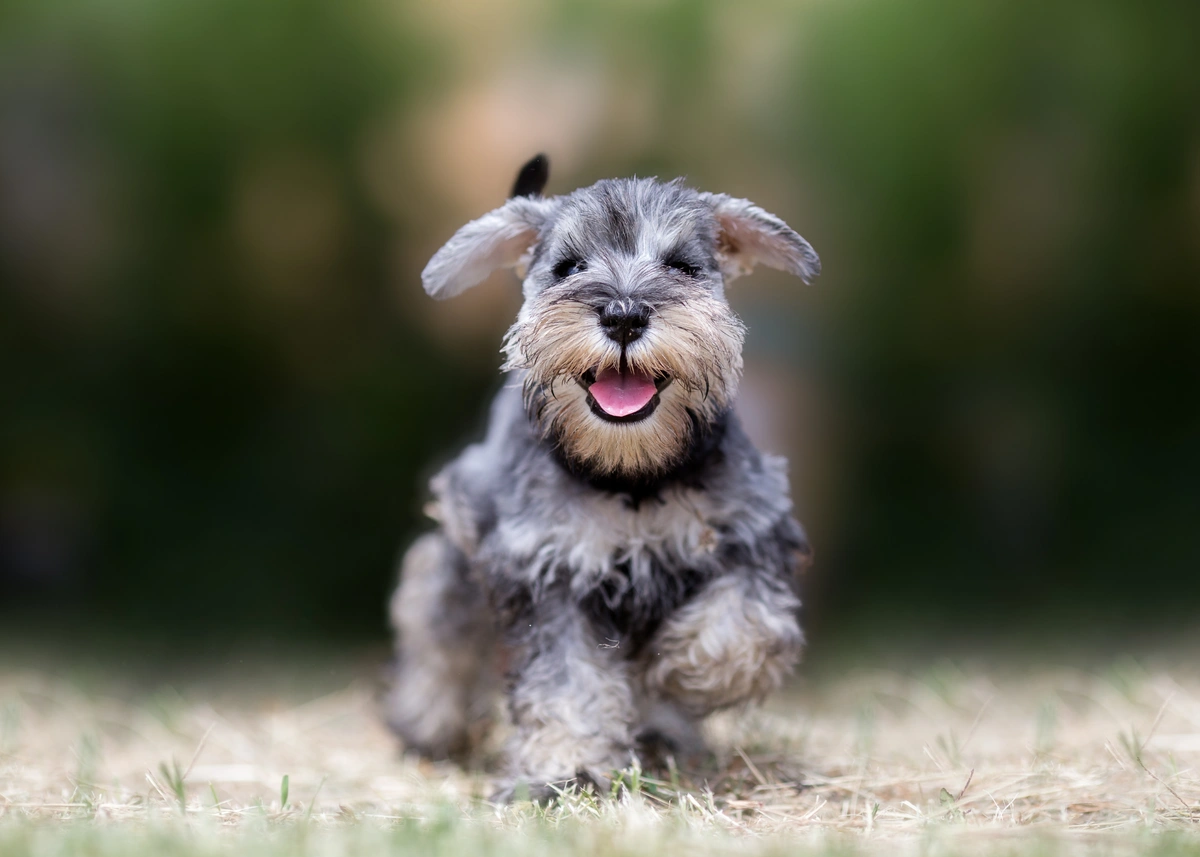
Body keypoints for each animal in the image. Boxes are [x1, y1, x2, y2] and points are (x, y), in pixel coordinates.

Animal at [388, 154, 820, 801]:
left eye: (682, 266)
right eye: (569, 267)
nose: (623, 314)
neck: (630, 476)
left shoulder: (752, 533)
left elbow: (743, 627)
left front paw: (680, 674)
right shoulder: (548, 572)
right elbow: (567, 683)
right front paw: (566, 768)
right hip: (458, 554)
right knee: (436, 622)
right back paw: (426, 722)